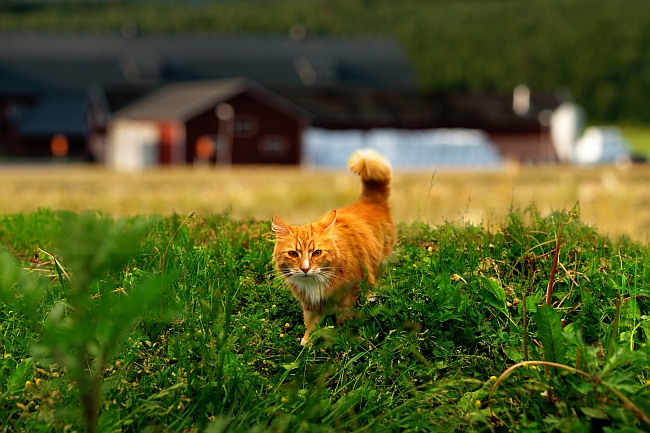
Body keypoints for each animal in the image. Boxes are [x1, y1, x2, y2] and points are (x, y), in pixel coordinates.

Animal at [270, 148, 392, 344]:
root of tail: (368, 200)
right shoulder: (309, 303)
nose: (305, 268)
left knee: (373, 285)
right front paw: (307, 341)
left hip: (378, 266)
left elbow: (343, 320)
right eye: (293, 254)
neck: (314, 281)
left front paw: (341, 337)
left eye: (317, 253)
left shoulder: (349, 295)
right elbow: (310, 324)